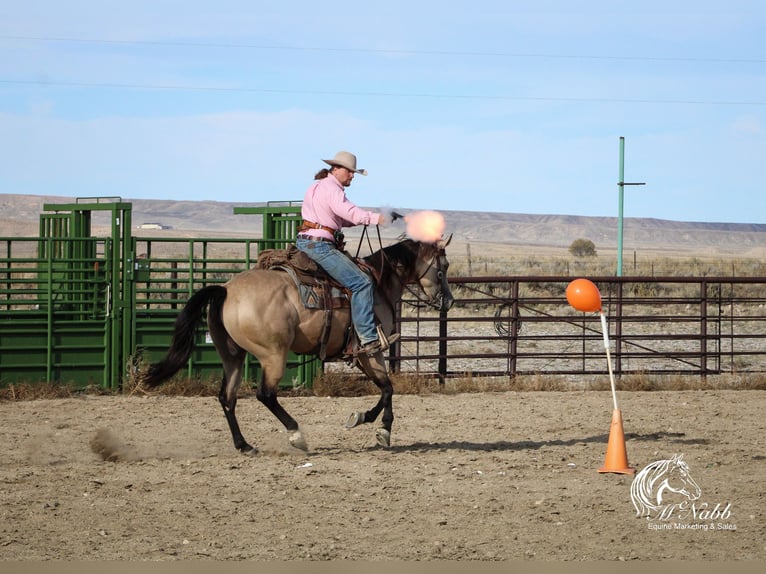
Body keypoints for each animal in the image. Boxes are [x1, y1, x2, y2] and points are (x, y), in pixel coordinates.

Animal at [139, 236, 452, 456]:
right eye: (444, 267)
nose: (448, 301)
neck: (378, 282)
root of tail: (226, 290)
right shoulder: (370, 349)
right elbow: (388, 388)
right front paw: (379, 427)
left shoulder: (367, 353)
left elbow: (386, 388)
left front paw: (366, 419)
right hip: (273, 355)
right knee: (265, 394)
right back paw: (296, 435)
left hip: (232, 355)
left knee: (227, 397)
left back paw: (245, 445)